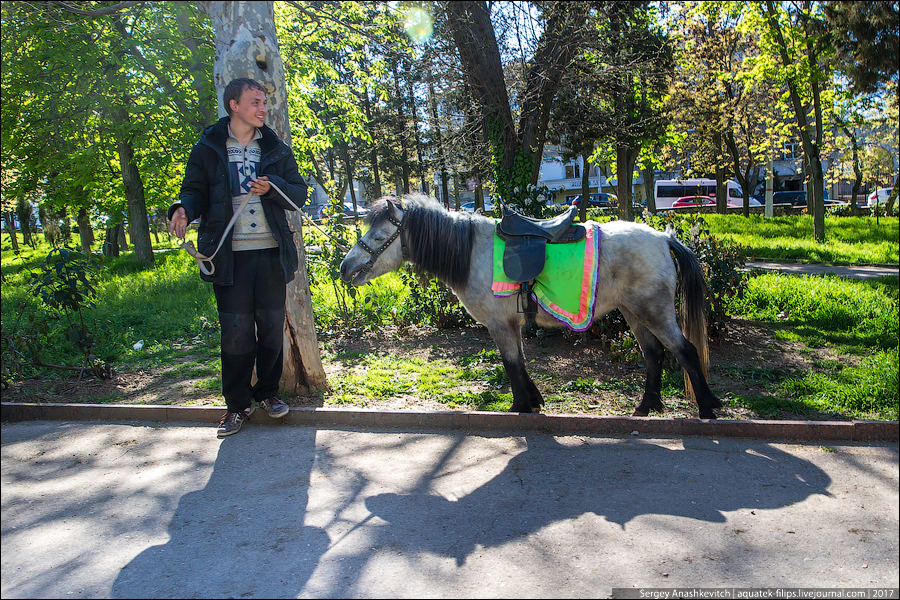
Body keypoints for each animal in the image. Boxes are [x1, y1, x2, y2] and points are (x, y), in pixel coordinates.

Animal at [338, 195, 724, 420]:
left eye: (377, 236)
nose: (345, 268)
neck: (471, 252)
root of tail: (663, 237)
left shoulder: (498, 324)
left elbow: (510, 364)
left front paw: (520, 406)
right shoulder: (511, 324)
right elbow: (520, 362)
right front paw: (534, 402)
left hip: (653, 310)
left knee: (685, 350)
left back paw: (707, 407)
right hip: (634, 312)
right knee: (654, 353)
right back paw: (645, 407)